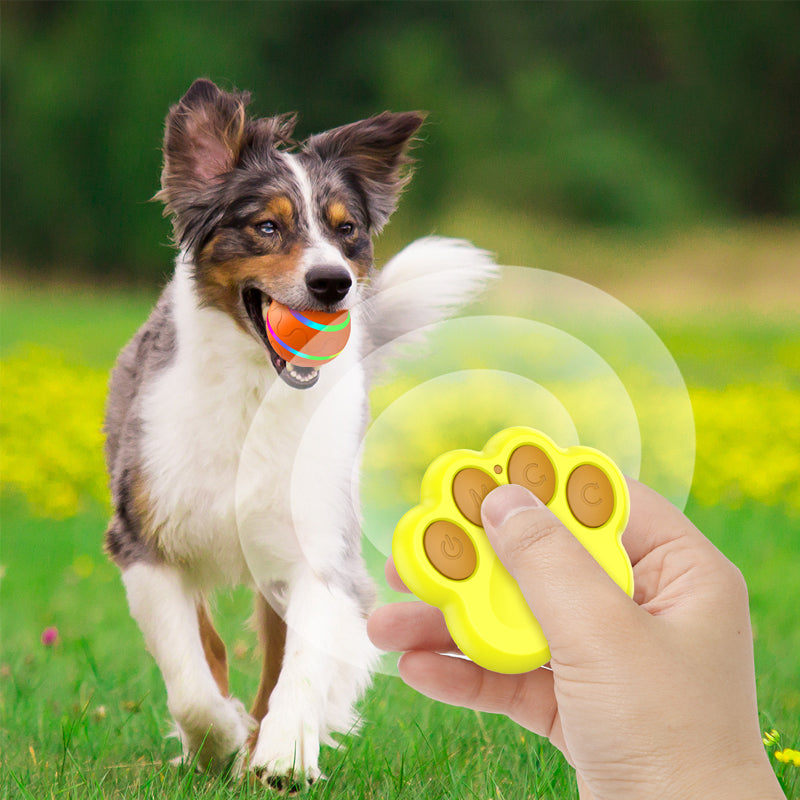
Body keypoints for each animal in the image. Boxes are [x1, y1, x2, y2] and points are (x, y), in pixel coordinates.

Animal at [104, 78, 496, 784]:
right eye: (267, 226)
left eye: (346, 232)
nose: (332, 283)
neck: (255, 394)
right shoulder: (144, 539)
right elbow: (191, 677)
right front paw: (219, 741)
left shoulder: (319, 547)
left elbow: (304, 664)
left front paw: (284, 752)